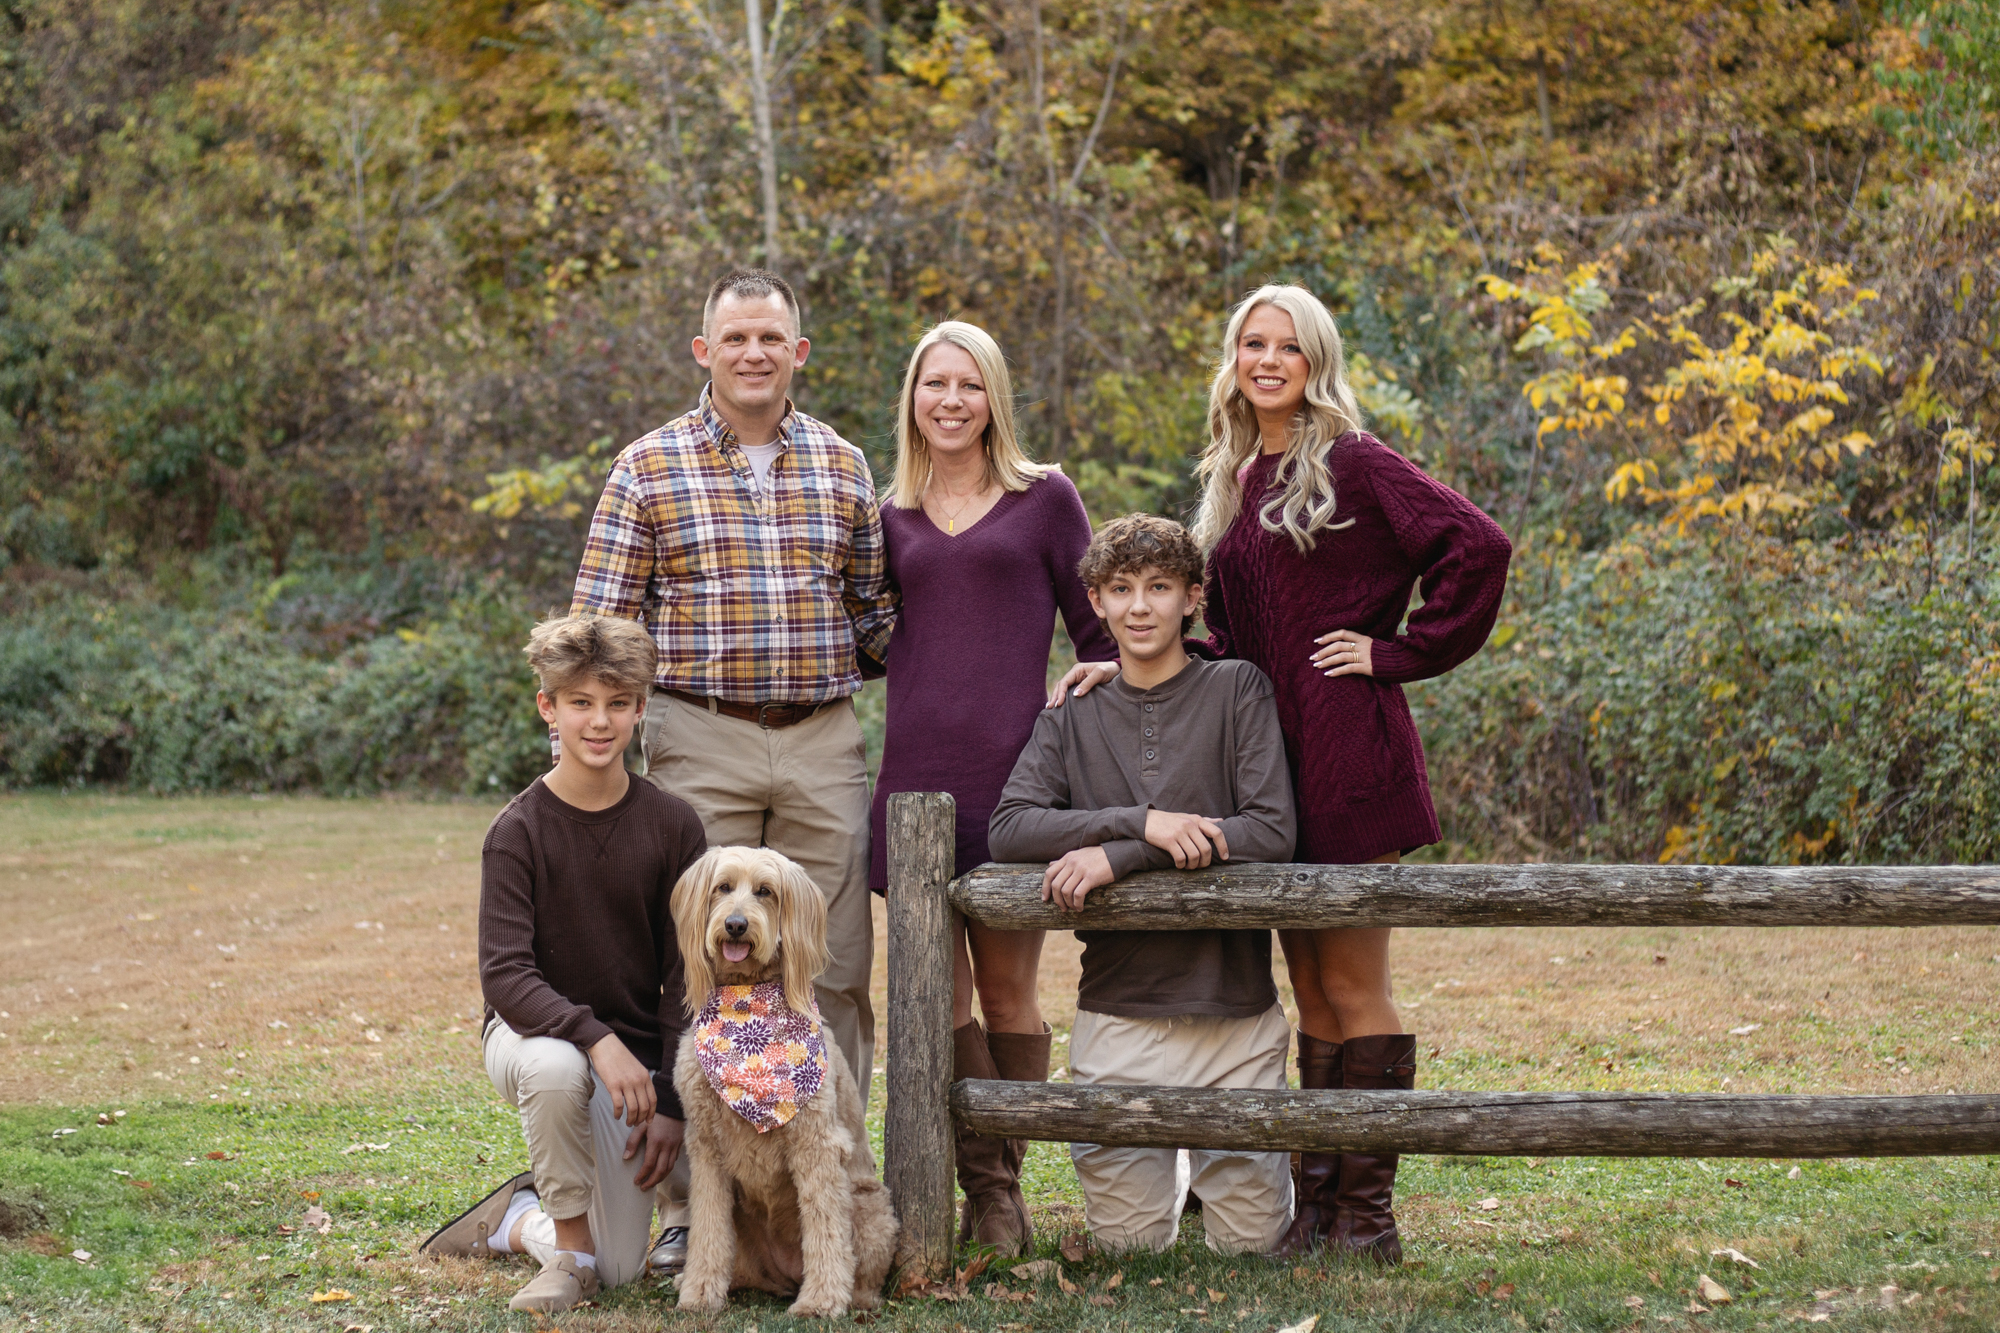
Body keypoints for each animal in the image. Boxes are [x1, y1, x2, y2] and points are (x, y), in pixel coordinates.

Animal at [668, 844, 896, 1312]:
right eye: (722, 887)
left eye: (765, 892)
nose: (736, 925)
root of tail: (783, 1276)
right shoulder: (705, 1149)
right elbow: (707, 1228)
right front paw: (699, 1291)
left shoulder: (816, 1145)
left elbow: (825, 1228)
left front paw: (821, 1301)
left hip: (871, 1210)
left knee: (861, 1272)